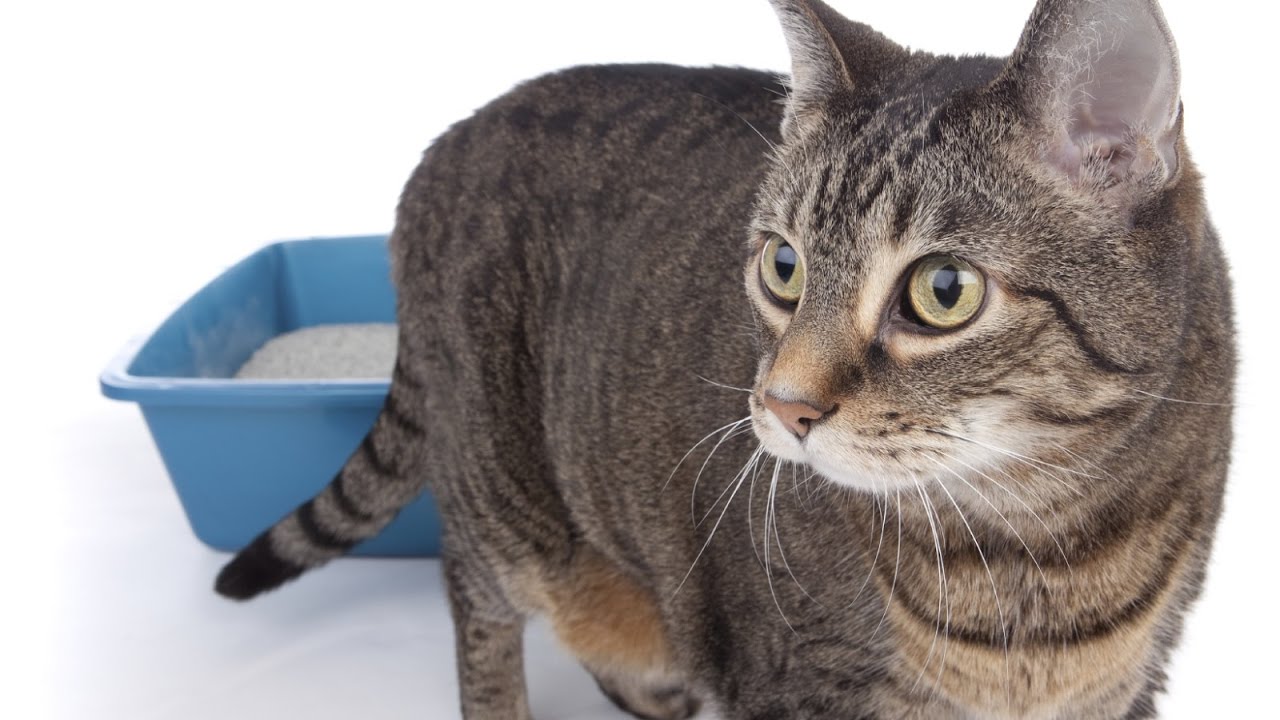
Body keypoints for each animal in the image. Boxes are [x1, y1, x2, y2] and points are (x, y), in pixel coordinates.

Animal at [215, 1, 1233, 712]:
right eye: (784, 268)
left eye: (943, 291)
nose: (782, 406)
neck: (1041, 549)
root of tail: (446, 140)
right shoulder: (795, 679)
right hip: (497, 498)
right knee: (476, 608)